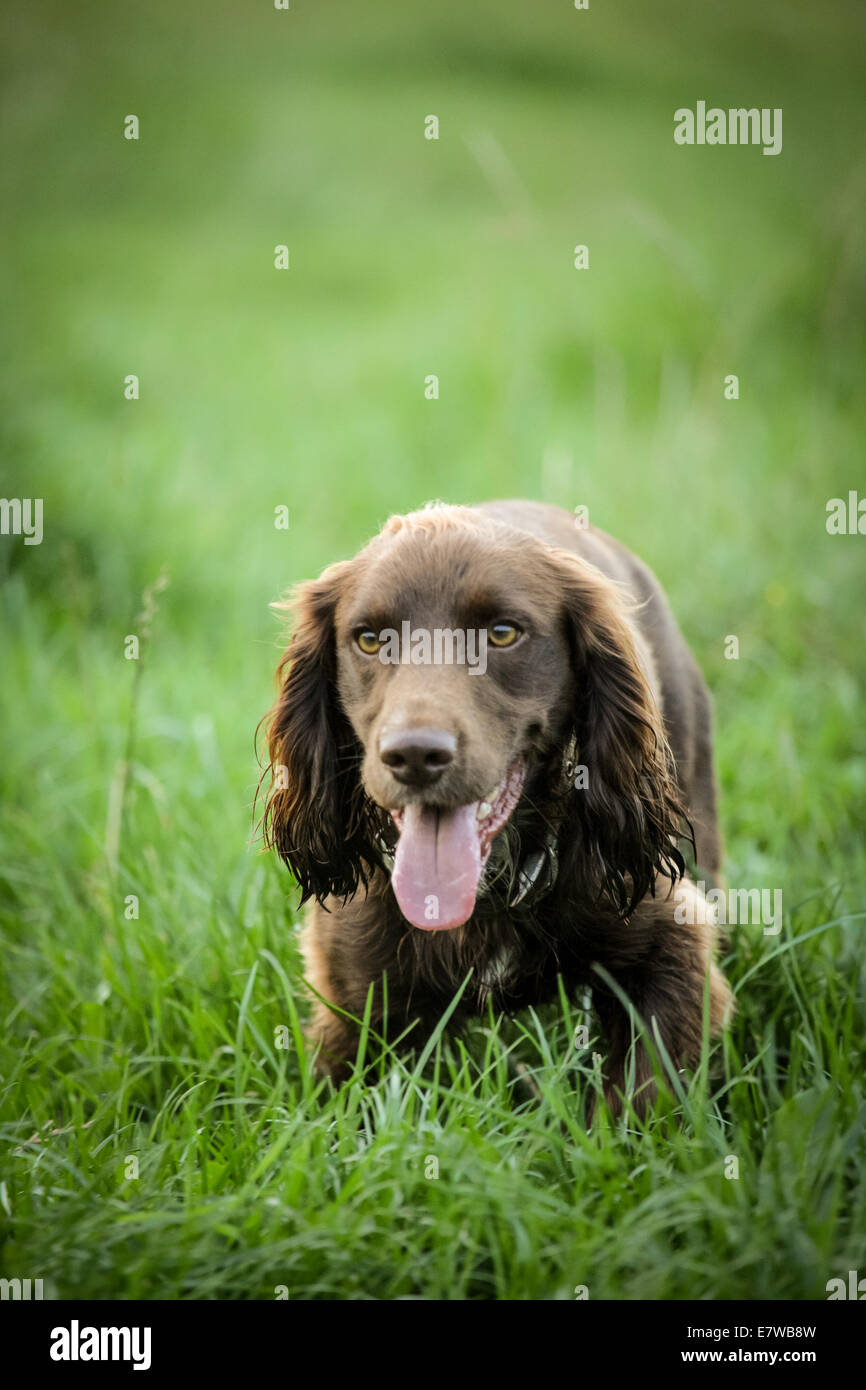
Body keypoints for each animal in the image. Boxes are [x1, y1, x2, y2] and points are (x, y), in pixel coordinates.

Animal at [258, 505, 733, 1112]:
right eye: (368, 639)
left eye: (503, 633)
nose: (414, 755)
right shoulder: (354, 1007)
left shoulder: (675, 941)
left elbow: (640, 1099)